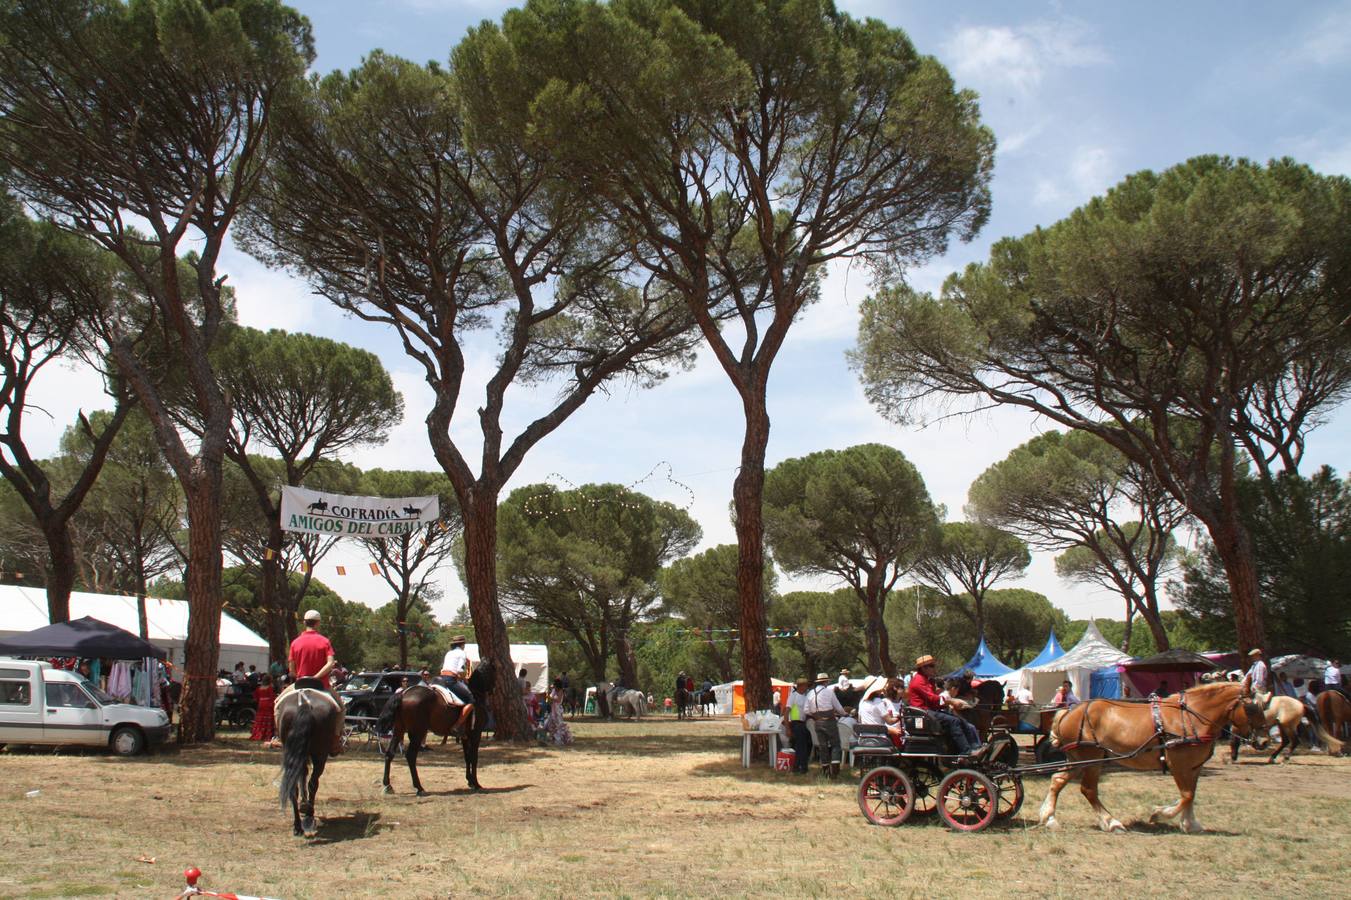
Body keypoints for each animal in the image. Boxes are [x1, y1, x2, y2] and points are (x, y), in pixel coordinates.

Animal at [275, 683, 343, 837]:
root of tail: (304, 703)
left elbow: (302, 774)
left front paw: (303, 803)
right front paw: (305, 806)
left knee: (293, 785)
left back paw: (297, 825)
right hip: (320, 755)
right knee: (314, 782)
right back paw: (309, 815)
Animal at [380, 656, 497, 794]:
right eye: (494, 669)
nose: (494, 689)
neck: (475, 693)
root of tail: (403, 694)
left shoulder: (465, 736)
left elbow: (467, 757)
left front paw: (470, 781)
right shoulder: (475, 734)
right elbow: (474, 757)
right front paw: (476, 783)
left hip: (399, 730)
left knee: (389, 753)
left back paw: (387, 785)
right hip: (417, 732)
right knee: (411, 756)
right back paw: (419, 787)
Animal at [1032, 681, 1264, 832]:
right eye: (1251, 708)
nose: (1263, 742)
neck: (1191, 717)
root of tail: (1069, 712)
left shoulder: (1194, 766)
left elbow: (1191, 794)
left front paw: (1190, 823)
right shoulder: (1178, 764)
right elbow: (1187, 794)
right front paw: (1160, 814)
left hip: (1079, 758)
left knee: (1058, 780)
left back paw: (1049, 817)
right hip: (1091, 758)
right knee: (1088, 789)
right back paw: (1111, 822)